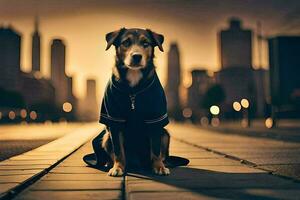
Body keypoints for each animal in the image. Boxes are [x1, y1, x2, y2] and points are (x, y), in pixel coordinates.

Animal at [99, 27, 171, 177]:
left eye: (145, 43)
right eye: (126, 42)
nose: (137, 56)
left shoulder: (155, 120)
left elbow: (156, 149)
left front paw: (159, 166)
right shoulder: (115, 121)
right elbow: (118, 150)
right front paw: (118, 167)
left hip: (165, 134)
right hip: (106, 137)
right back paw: (110, 163)